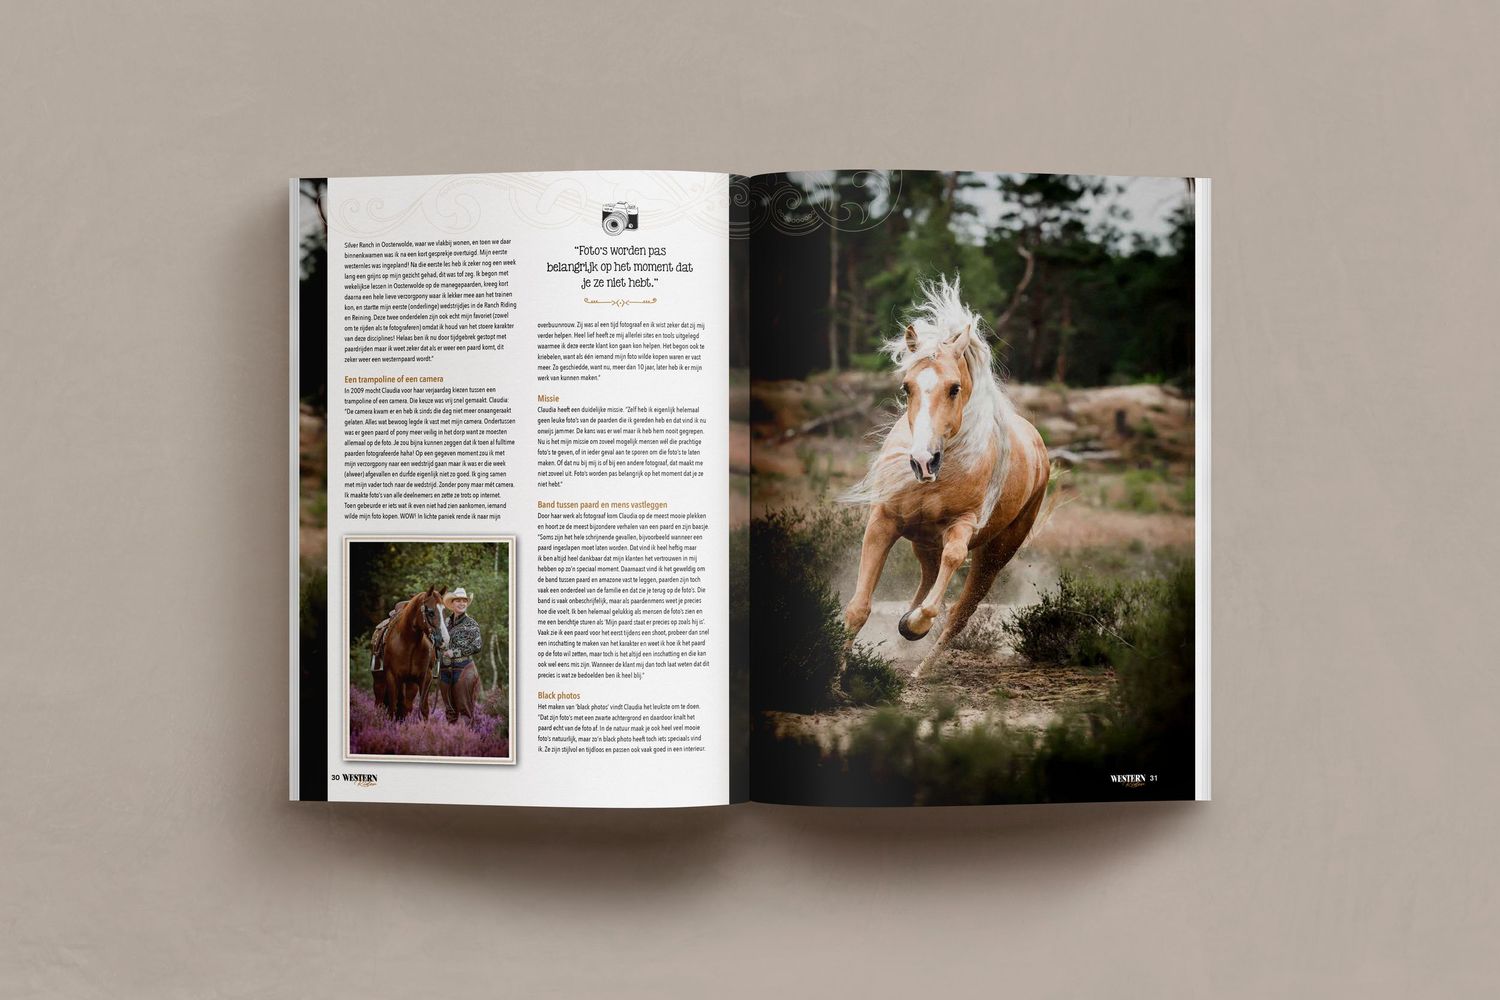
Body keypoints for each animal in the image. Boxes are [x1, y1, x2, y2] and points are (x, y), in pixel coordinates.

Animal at [372, 586, 449, 721]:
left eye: (444, 611)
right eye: (430, 612)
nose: (445, 640)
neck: (409, 643)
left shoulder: (425, 678)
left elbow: (423, 709)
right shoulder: (392, 676)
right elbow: (392, 707)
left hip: (409, 683)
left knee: (405, 706)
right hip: (379, 681)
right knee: (380, 703)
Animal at [840, 275, 1054, 681]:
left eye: (954, 388)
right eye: (906, 387)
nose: (924, 462)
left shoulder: (962, 526)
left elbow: (949, 572)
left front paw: (916, 625)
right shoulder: (883, 522)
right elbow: (858, 606)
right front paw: (835, 673)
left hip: (995, 554)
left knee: (959, 613)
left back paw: (919, 666)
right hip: (923, 541)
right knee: (927, 579)